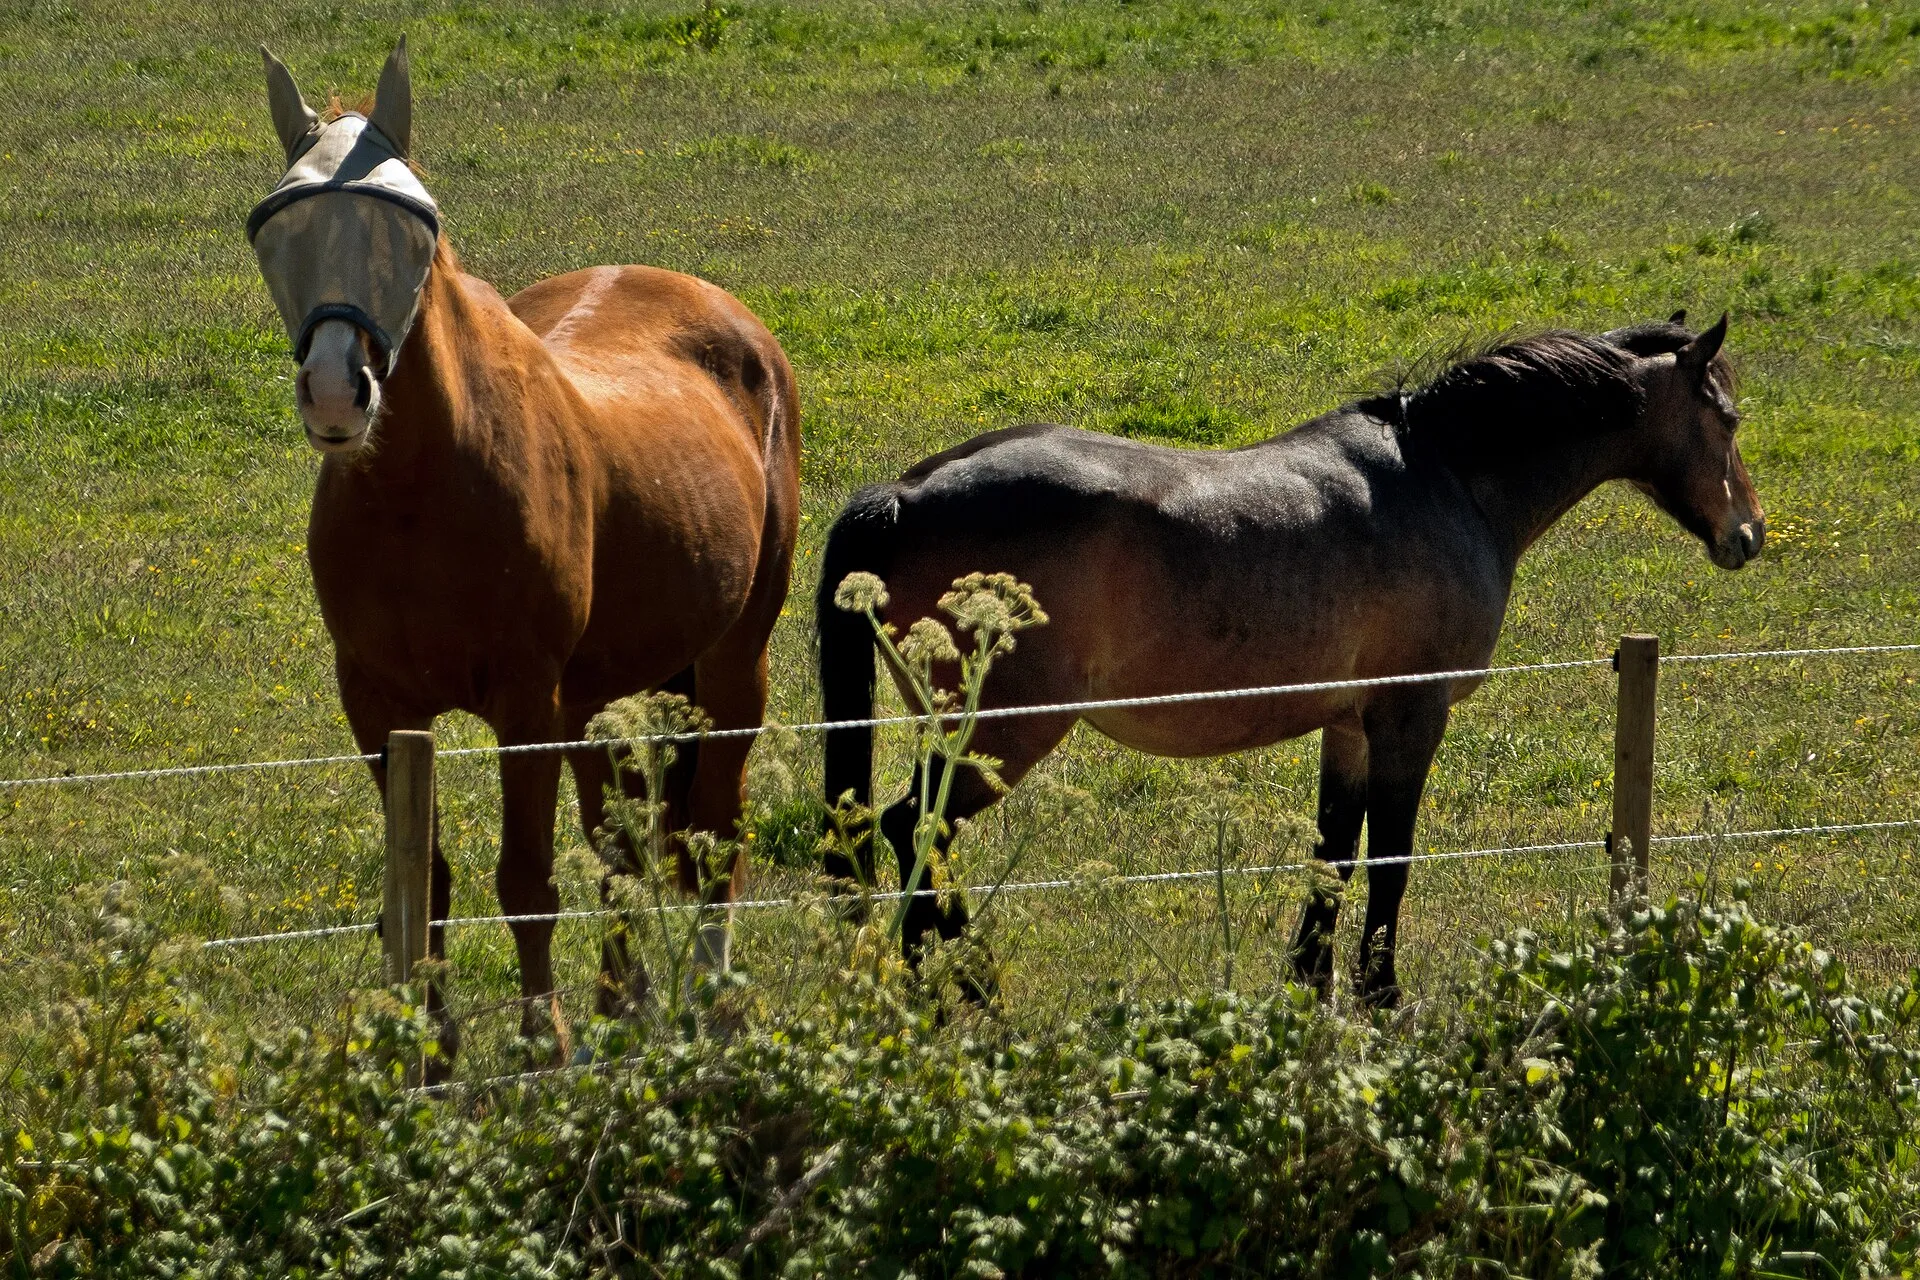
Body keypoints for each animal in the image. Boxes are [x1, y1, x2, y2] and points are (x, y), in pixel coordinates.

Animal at [248, 39, 801, 1054]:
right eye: (276, 224)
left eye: (416, 226)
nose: (338, 391)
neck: (419, 496)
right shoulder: (379, 707)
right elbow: (424, 888)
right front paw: (427, 1052)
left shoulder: (525, 701)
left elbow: (527, 884)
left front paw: (544, 1047)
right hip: (596, 694)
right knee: (622, 841)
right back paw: (625, 1004)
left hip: (731, 663)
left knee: (715, 831)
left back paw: (710, 1002)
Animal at [815, 314, 1762, 1005]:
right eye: (1729, 419)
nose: (1748, 533)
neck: (1447, 477)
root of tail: (902, 493)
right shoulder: (1410, 717)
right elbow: (1389, 859)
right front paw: (1380, 993)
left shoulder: (1350, 726)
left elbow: (1333, 857)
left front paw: (1311, 984)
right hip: (1003, 734)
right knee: (914, 829)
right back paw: (963, 987)